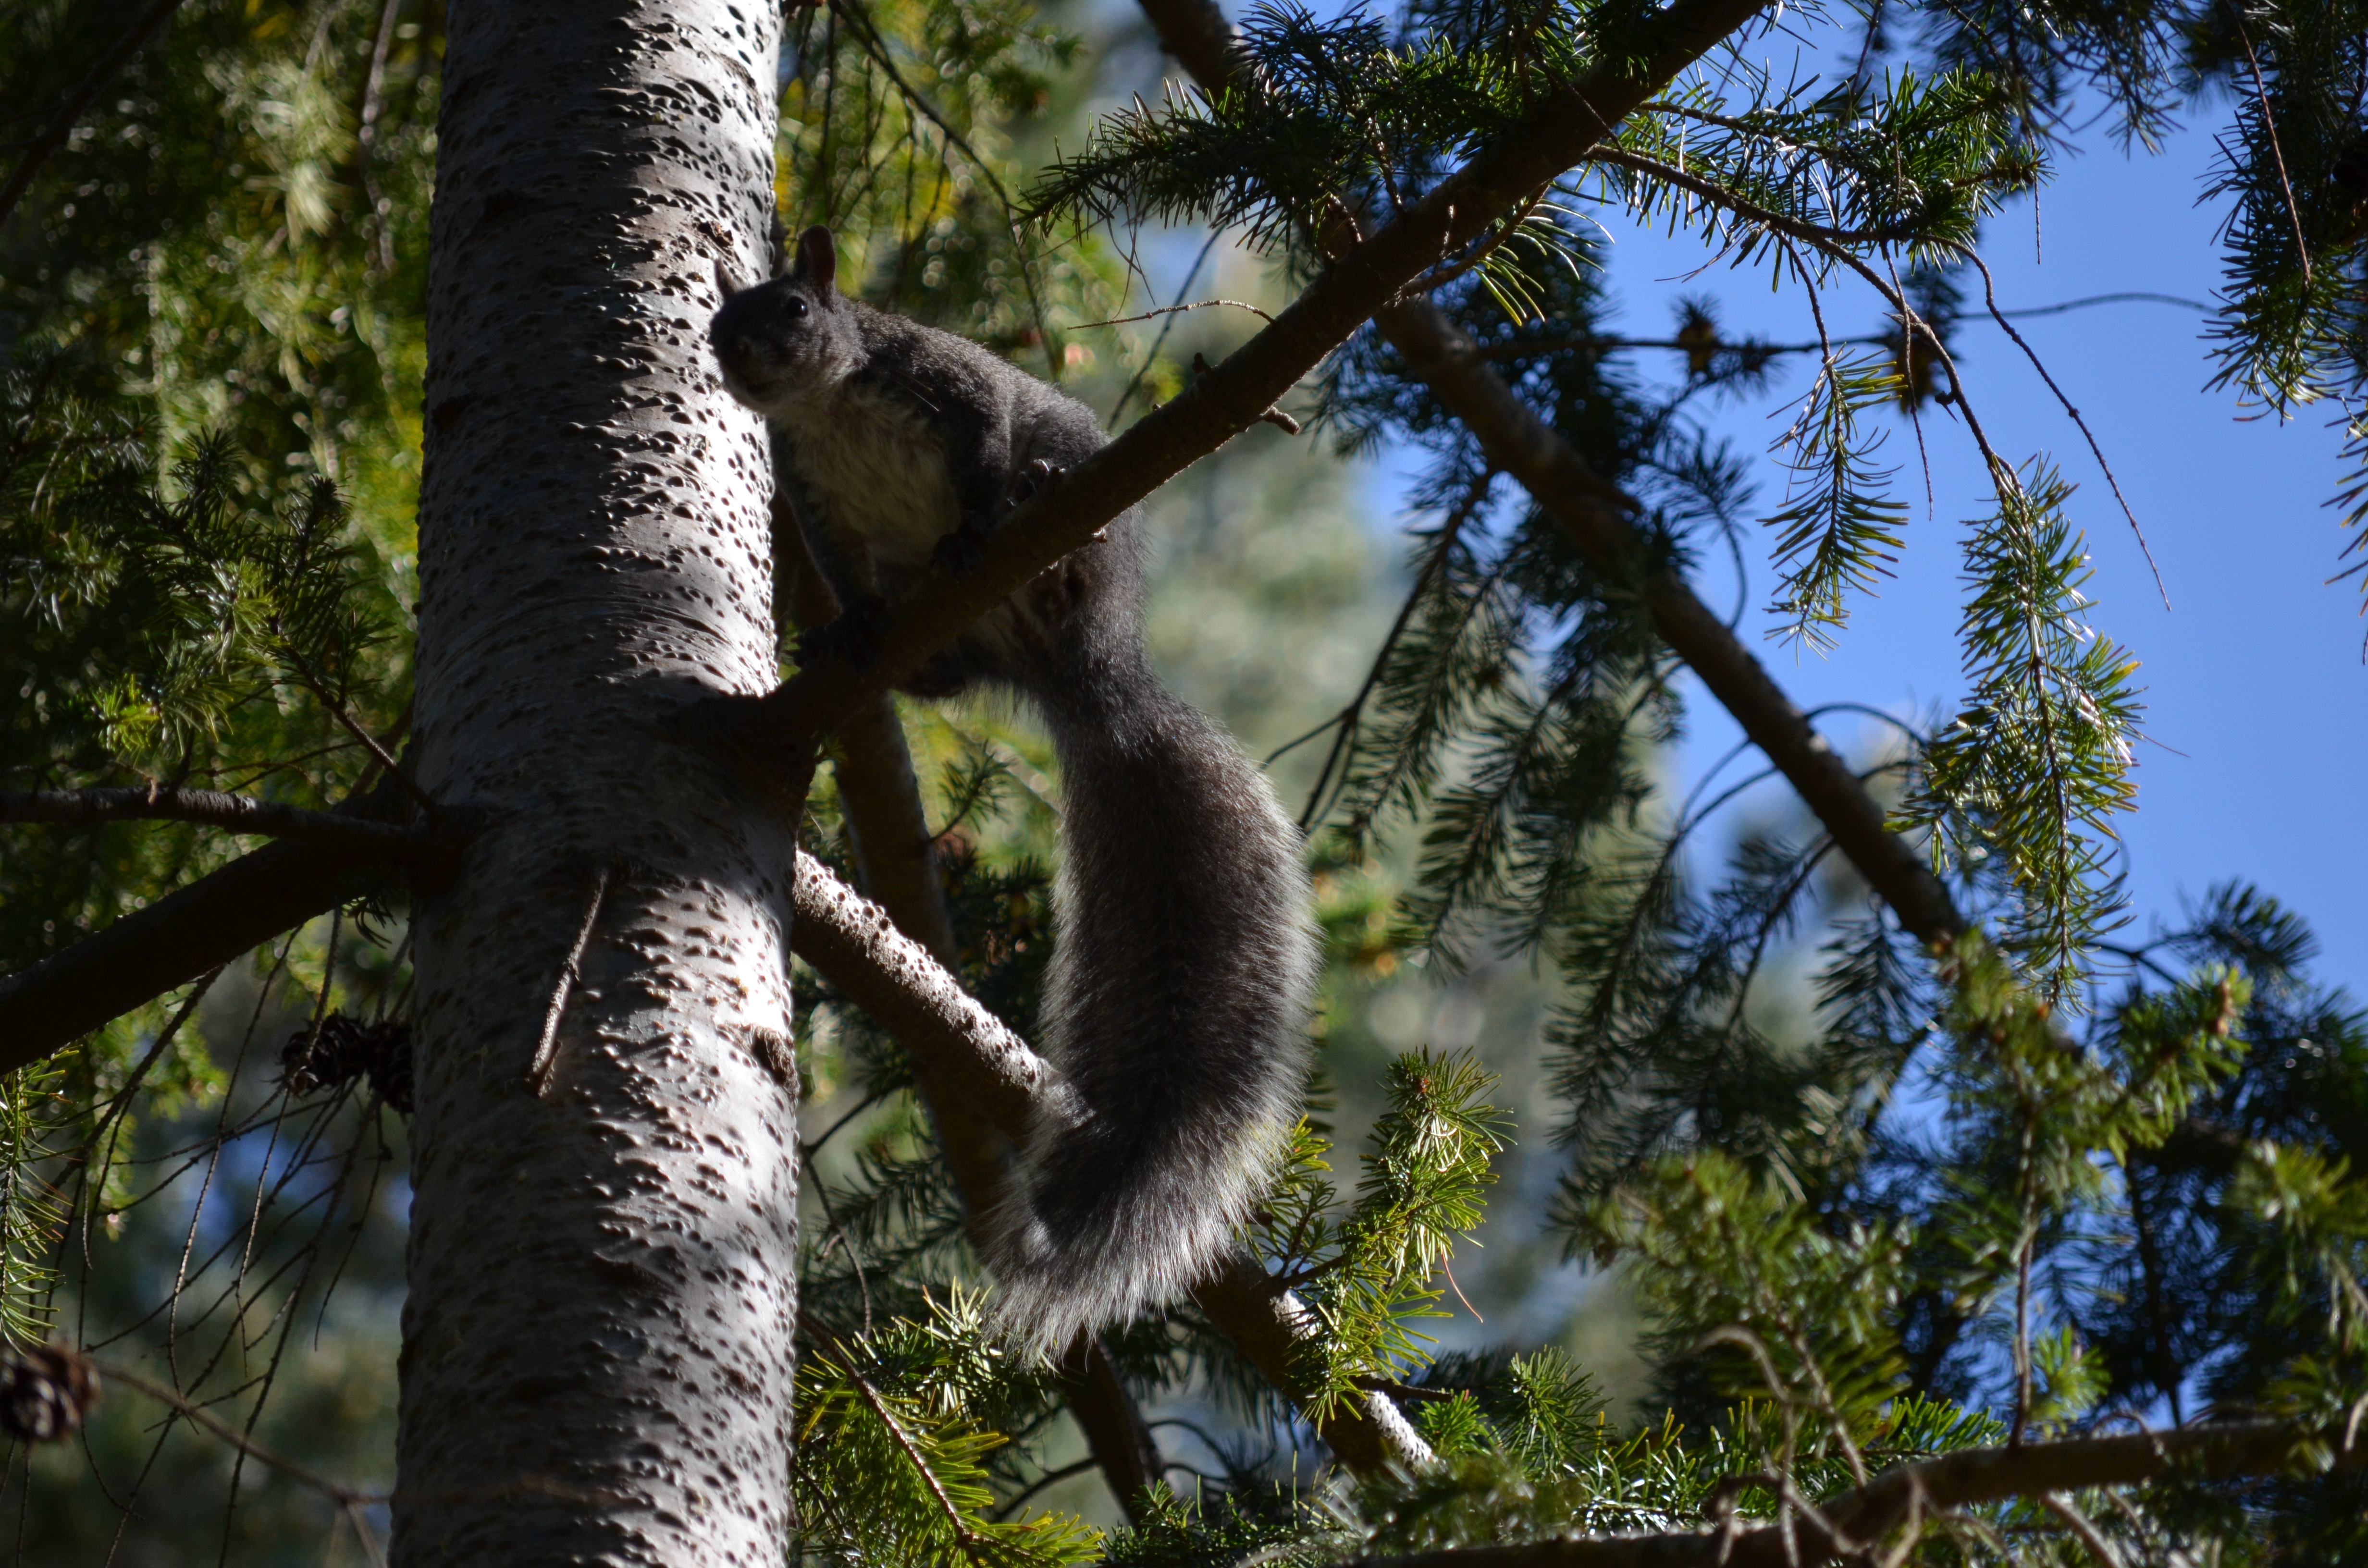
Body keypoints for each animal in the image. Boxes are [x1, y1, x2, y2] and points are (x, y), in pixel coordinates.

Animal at [708, 226, 1318, 1353]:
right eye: (717, 322)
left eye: (792, 310)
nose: (738, 360)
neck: (827, 407)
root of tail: (1084, 685)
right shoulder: (814, 505)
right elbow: (842, 574)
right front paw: (846, 626)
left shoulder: (954, 387)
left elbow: (985, 446)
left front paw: (973, 521)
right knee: (947, 676)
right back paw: (898, 658)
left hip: (1083, 523)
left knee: (1045, 518)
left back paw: (1050, 552)